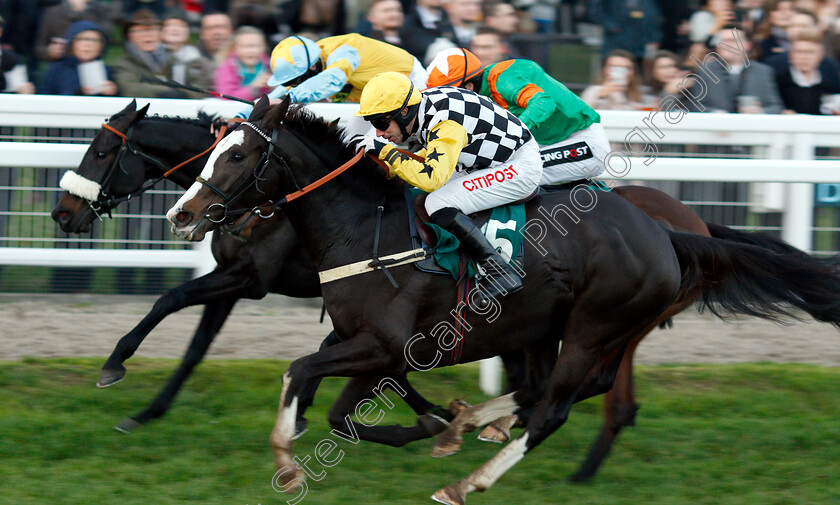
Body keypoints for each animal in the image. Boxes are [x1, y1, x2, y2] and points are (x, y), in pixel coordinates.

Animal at [169, 96, 840, 502]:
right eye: (212, 147)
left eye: (239, 154)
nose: (182, 214)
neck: (366, 228)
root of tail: (667, 233)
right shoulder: (368, 344)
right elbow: (331, 405)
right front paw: (432, 425)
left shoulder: (383, 345)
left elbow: (299, 371)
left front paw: (287, 462)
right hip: (549, 328)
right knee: (547, 389)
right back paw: (474, 424)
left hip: (596, 325)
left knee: (554, 408)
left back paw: (468, 480)